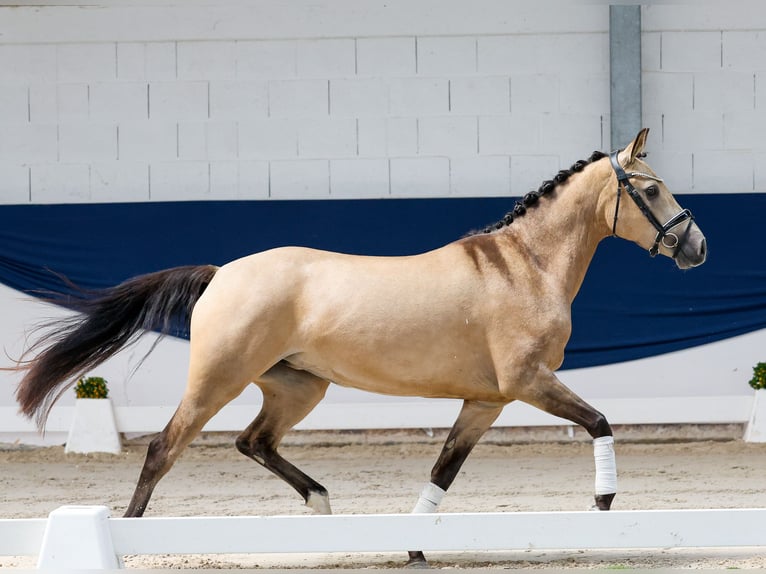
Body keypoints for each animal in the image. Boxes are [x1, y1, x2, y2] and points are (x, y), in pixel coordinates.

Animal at [12, 128, 706, 567]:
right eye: (650, 189)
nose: (697, 248)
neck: (524, 267)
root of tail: (221, 273)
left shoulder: (485, 402)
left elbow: (442, 472)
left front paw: (416, 547)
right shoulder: (528, 383)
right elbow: (600, 422)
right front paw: (604, 502)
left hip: (298, 386)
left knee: (254, 442)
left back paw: (322, 506)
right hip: (218, 380)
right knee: (164, 448)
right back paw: (131, 536)